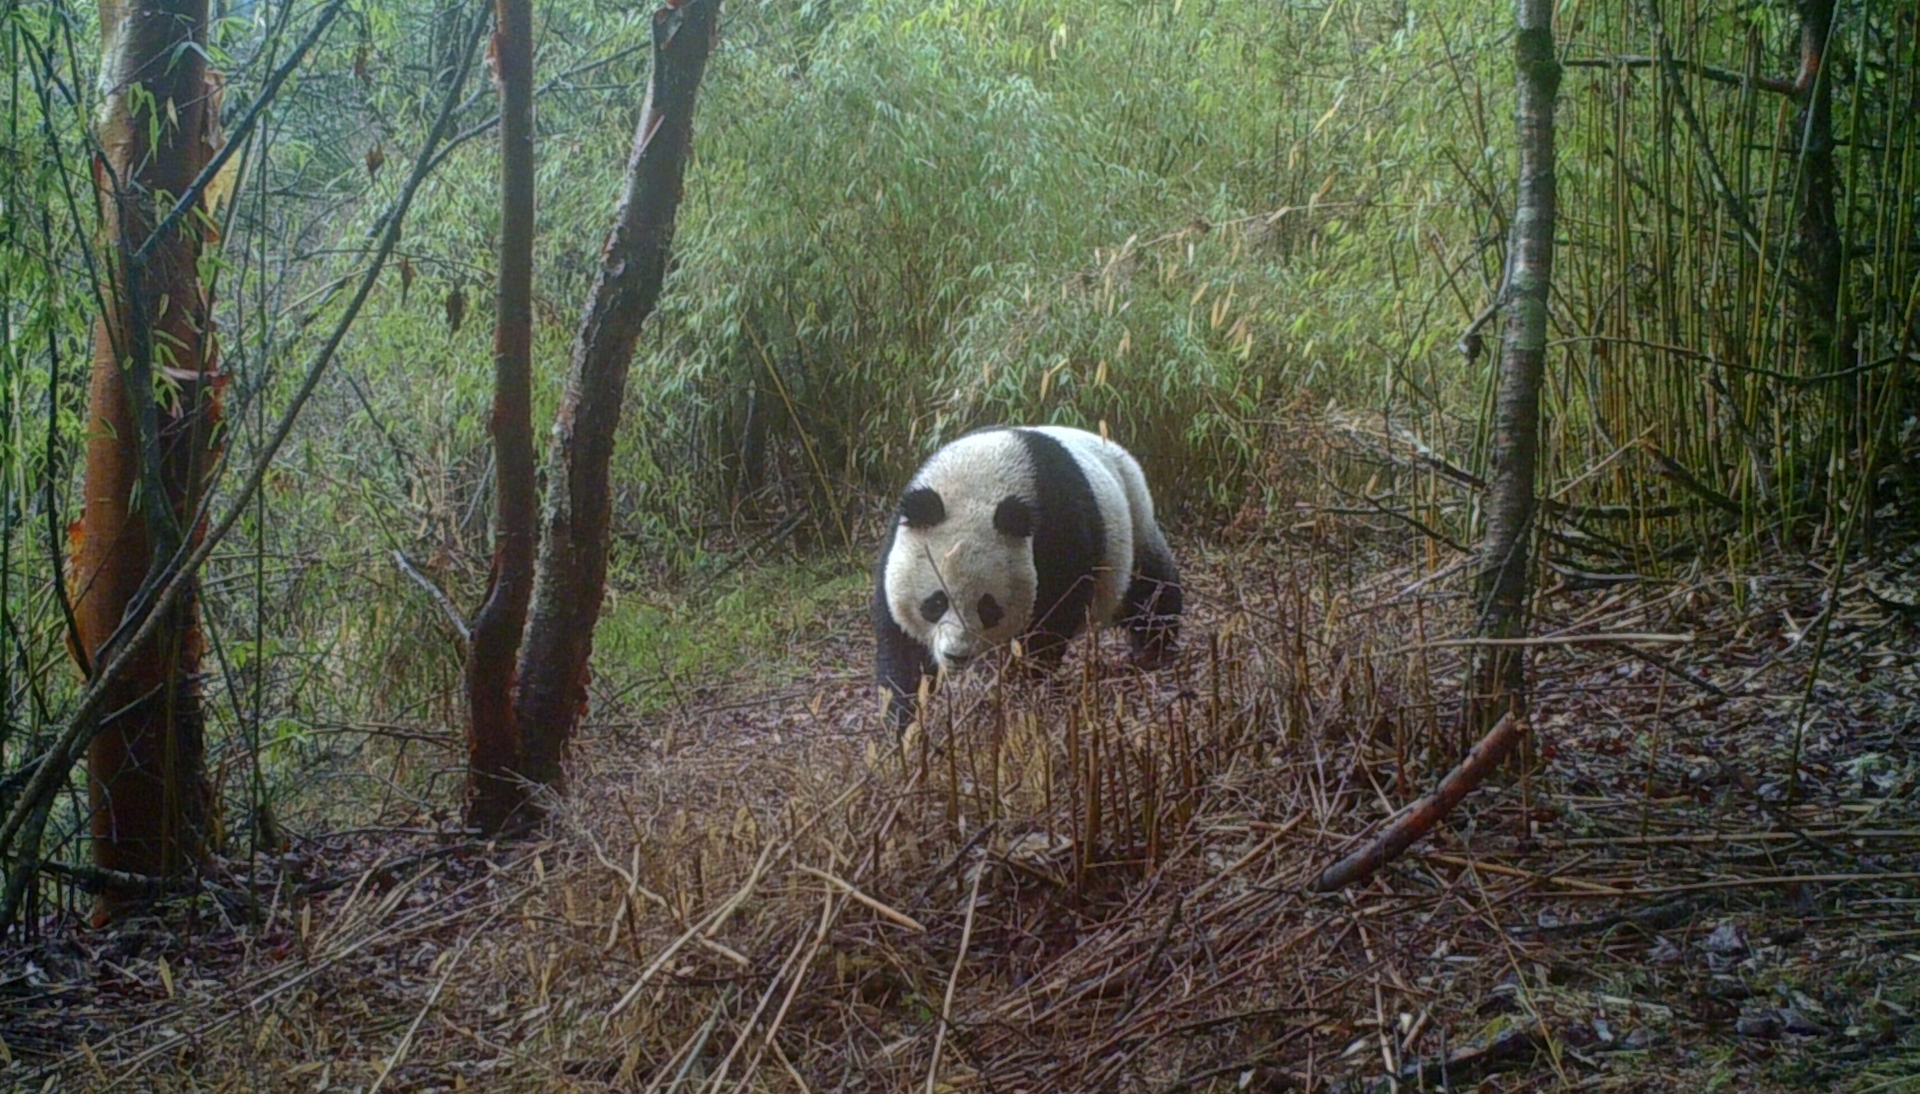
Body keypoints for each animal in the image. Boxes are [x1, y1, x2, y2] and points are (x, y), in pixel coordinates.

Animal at [875, 424, 1175, 725]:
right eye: (936, 602)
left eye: (987, 607)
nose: (956, 655)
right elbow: (903, 647)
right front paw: (904, 713)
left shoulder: (1060, 533)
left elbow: (1052, 618)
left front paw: (1029, 687)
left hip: (1133, 523)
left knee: (1151, 591)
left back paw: (1154, 649)